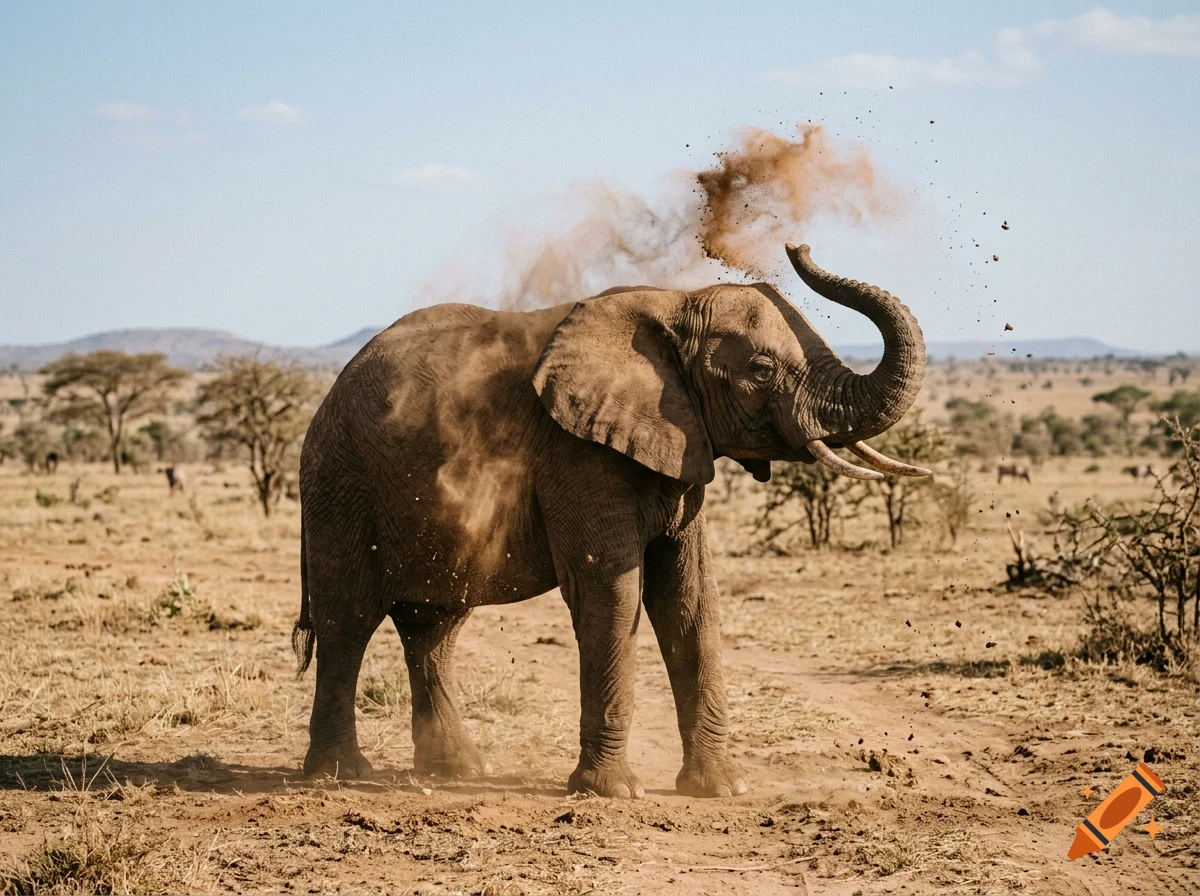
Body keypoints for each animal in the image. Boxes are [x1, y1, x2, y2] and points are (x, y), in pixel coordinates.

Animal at [293, 242, 929, 797]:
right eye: (760, 368)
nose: (798, 246)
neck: (673, 302)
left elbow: (690, 600)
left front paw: (721, 790)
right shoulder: (577, 453)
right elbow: (613, 594)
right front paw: (614, 793)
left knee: (434, 628)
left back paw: (458, 770)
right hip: (341, 486)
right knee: (348, 620)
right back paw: (340, 776)